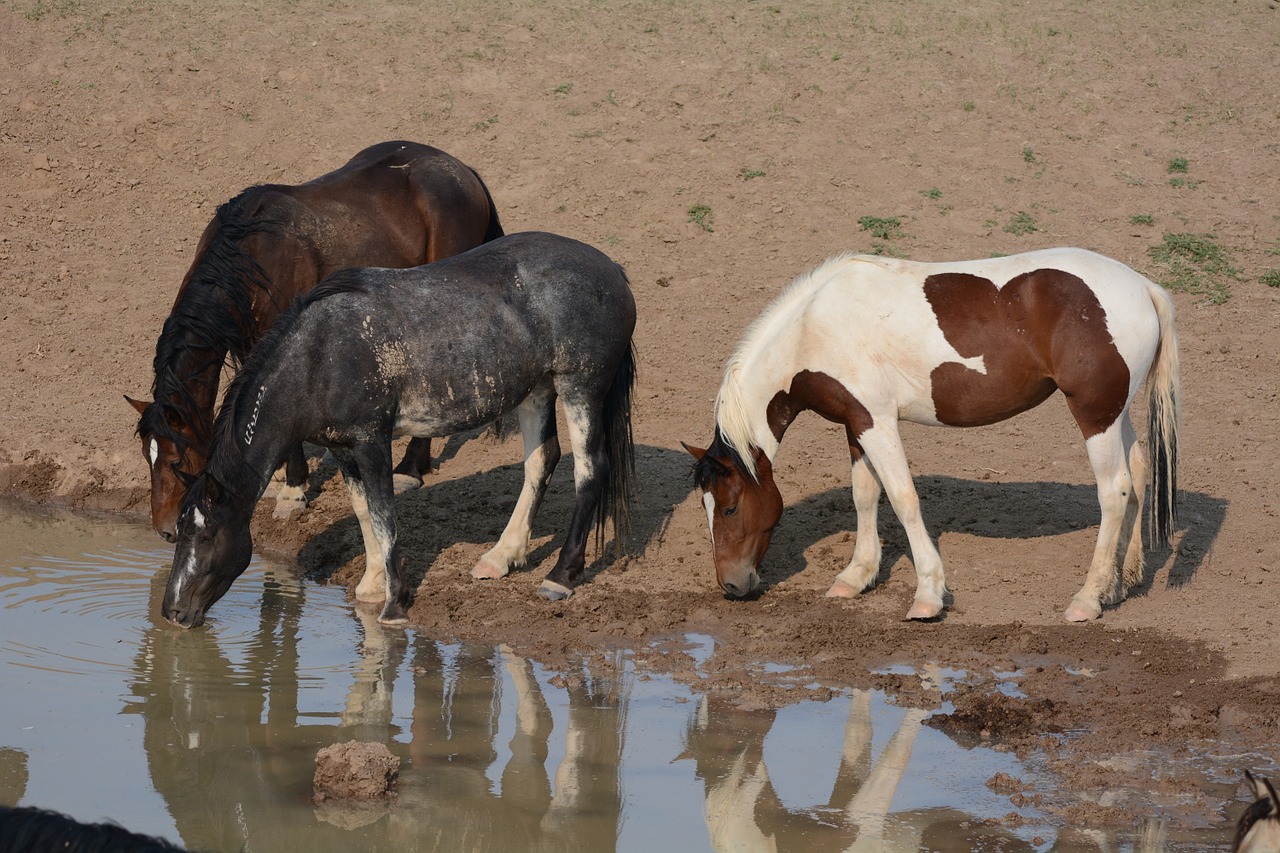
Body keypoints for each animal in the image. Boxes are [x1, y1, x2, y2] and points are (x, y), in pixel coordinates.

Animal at [127, 138, 501, 537]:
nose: (165, 529)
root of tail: (462, 170)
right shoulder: (245, 345)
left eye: (175, 458)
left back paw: (410, 468)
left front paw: (294, 489)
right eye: (147, 455)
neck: (251, 254)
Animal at [162, 230, 637, 625]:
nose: (173, 612)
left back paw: (560, 576)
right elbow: (363, 511)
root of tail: (613, 270)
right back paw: (501, 557)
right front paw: (372, 586)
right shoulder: (343, 448)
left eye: (206, 535)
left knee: (590, 471)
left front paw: (394, 603)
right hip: (537, 391)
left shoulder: (372, 442)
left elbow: (385, 515)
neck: (319, 357)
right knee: (541, 461)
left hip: (580, 388)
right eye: (179, 533)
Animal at [691, 249, 1177, 622]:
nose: (731, 586)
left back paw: (1087, 599)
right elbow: (865, 496)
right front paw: (856, 576)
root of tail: (1142, 287)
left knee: (1114, 492)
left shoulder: (878, 421)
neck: (814, 329)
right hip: (1116, 413)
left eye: (730, 508)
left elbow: (904, 499)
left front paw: (927, 595)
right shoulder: (856, 423)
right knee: (1137, 475)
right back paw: (1117, 585)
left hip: (1095, 416)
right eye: (707, 507)